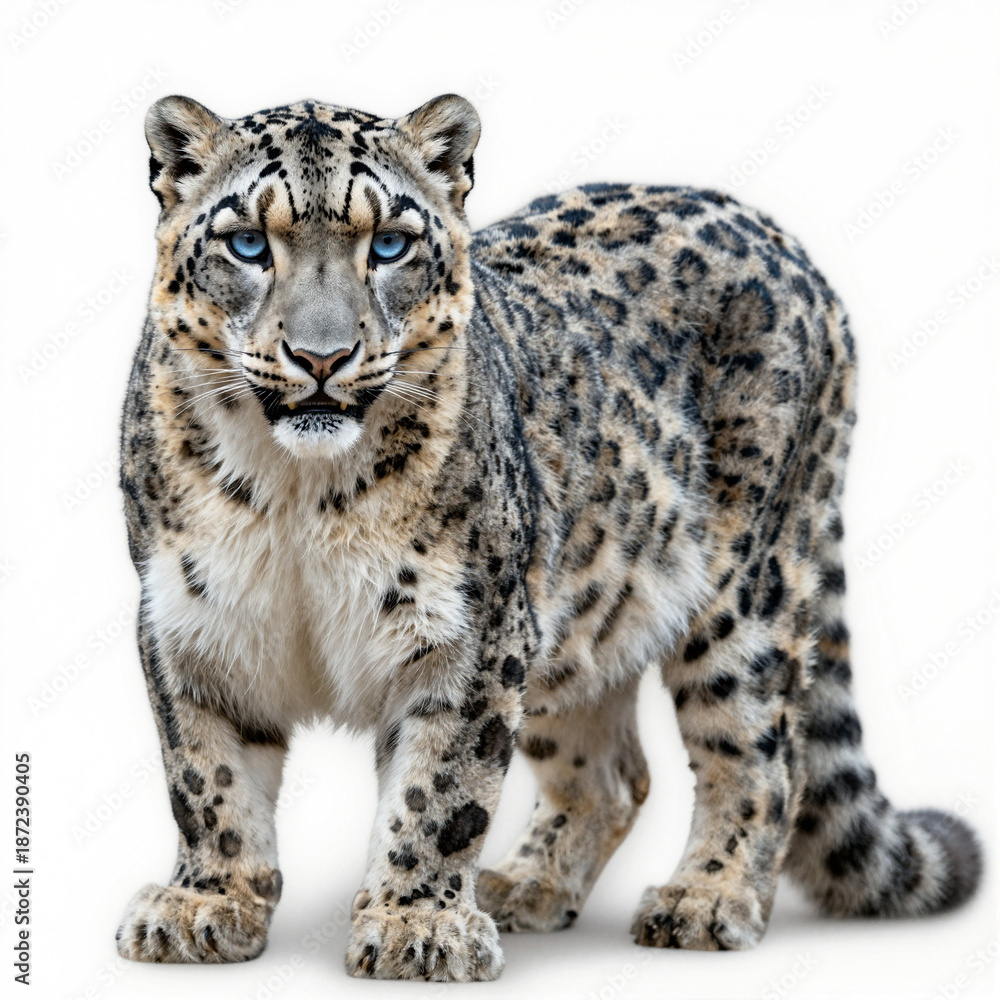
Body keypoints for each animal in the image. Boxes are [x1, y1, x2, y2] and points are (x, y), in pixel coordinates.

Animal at [116, 92, 982, 981]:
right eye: (248, 243)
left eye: (389, 244)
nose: (322, 357)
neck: (296, 496)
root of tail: (783, 240)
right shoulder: (192, 622)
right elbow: (206, 776)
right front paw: (204, 905)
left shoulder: (470, 629)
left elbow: (440, 788)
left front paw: (415, 925)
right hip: (576, 617)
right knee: (612, 773)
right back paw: (527, 885)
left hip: (745, 596)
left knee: (762, 754)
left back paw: (704, 899)